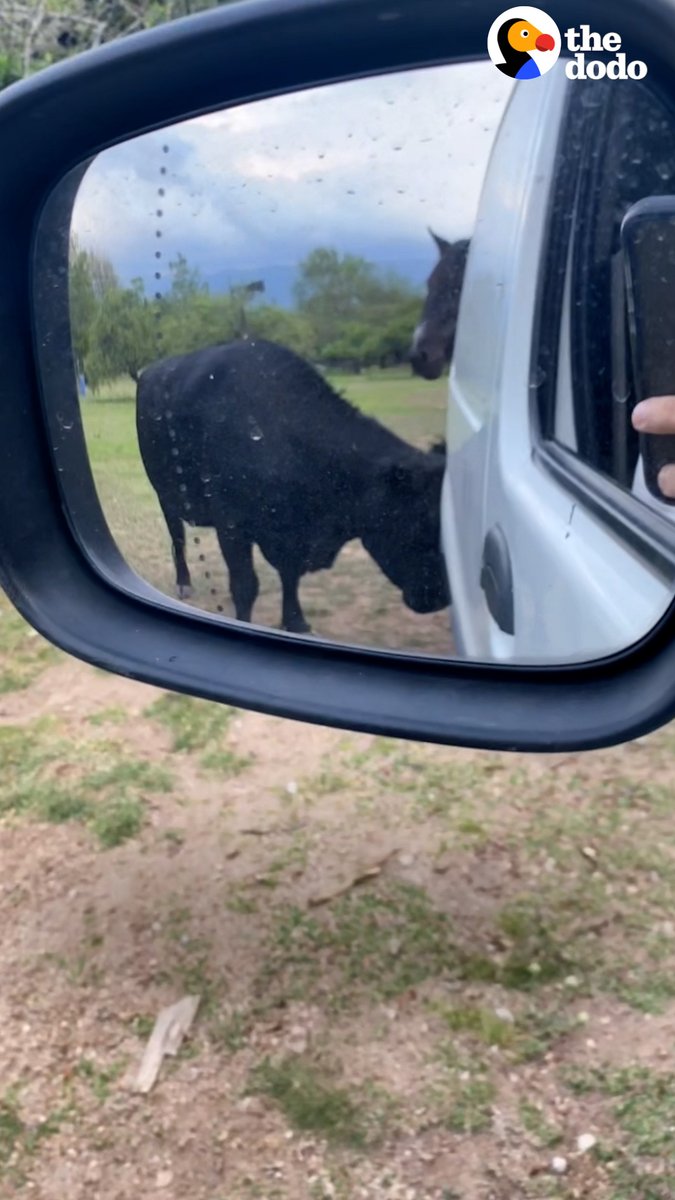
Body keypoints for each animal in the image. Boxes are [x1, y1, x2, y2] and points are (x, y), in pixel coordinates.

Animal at [136, 337, 449, 634]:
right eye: (419, 523)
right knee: (177, 537)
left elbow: (290, 575)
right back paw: (184, 582)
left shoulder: (291, 535)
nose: (442, 597)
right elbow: (245, 585)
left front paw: (296, 621)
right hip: (165, 493)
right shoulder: (232, 524)